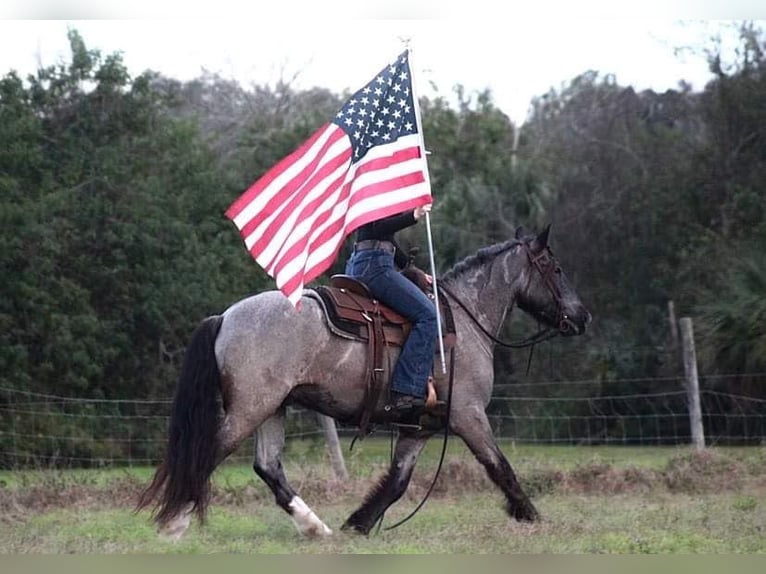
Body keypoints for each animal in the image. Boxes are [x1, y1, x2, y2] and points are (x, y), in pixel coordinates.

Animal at [136, 225, 592, 540]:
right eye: (556, 268)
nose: (582, 316)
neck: (463, 320)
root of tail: (226, 317)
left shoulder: (421, 428)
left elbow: (397, 482)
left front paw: (358, 523)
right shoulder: (469, 416)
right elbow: (500, 467)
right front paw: (530, 515)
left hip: (272, 408)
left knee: (267, 466)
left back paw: (315, 527)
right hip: (250, 408)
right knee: (208, 454)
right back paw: (174, 524)